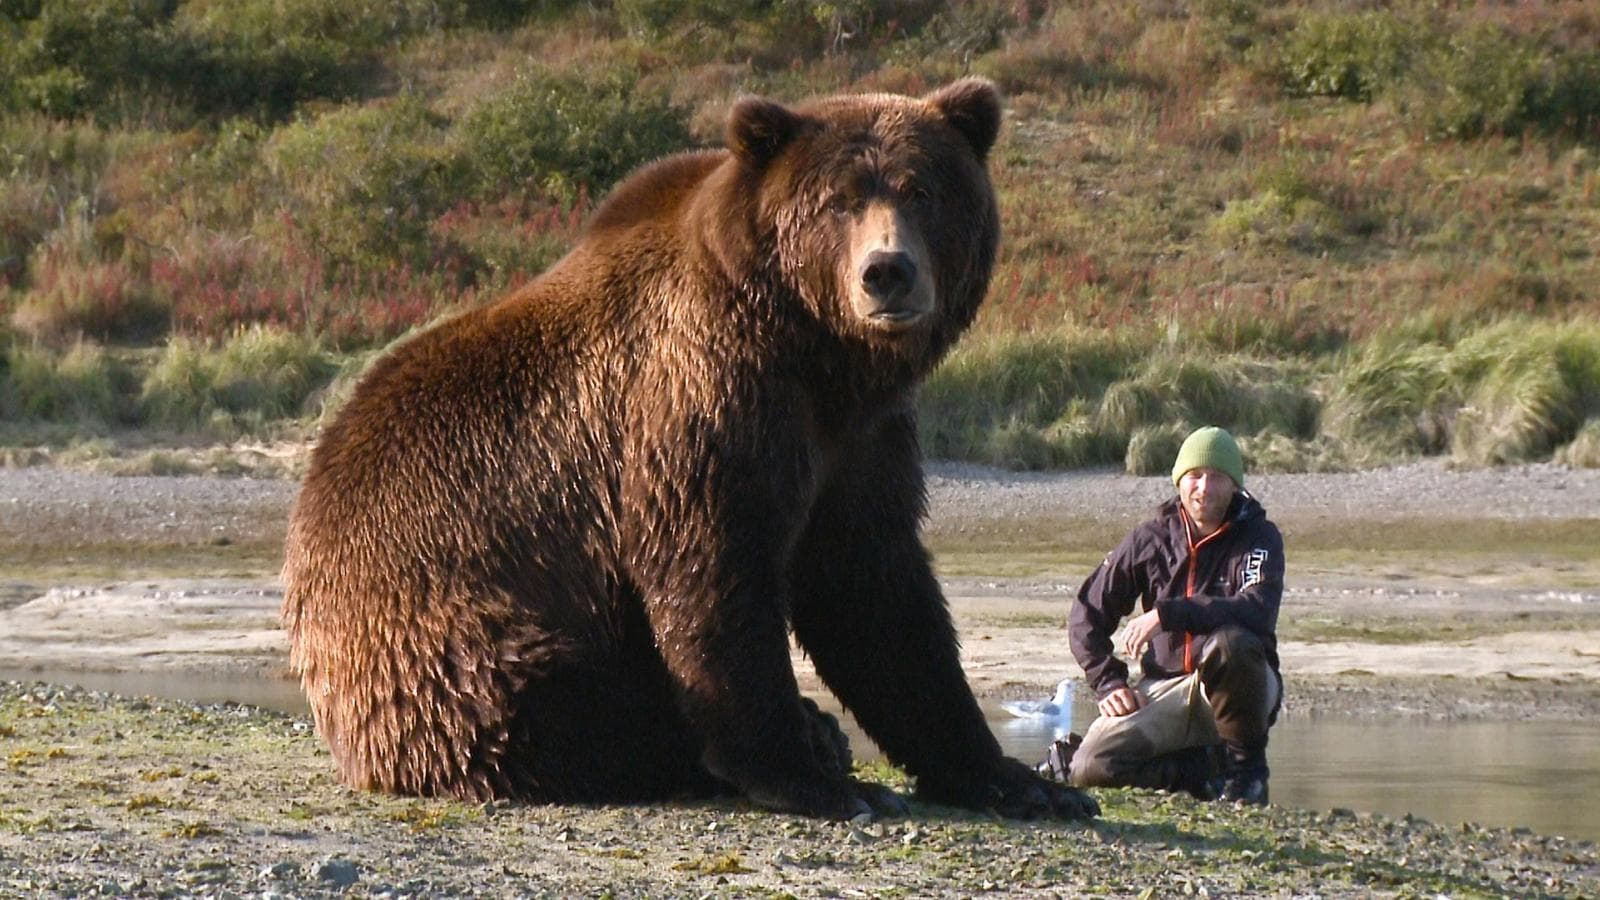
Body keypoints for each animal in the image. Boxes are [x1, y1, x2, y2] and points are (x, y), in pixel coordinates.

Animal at [278, 78, 1100, 819]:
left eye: (921, 190)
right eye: (838, 201)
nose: (887, 272)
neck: (817, 353)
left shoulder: (861, 439)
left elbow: (878, 594)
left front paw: (1019, 782)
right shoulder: (701, 403)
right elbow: (716, 573)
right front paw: (815, 779)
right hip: (440, 635)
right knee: (551, 702)